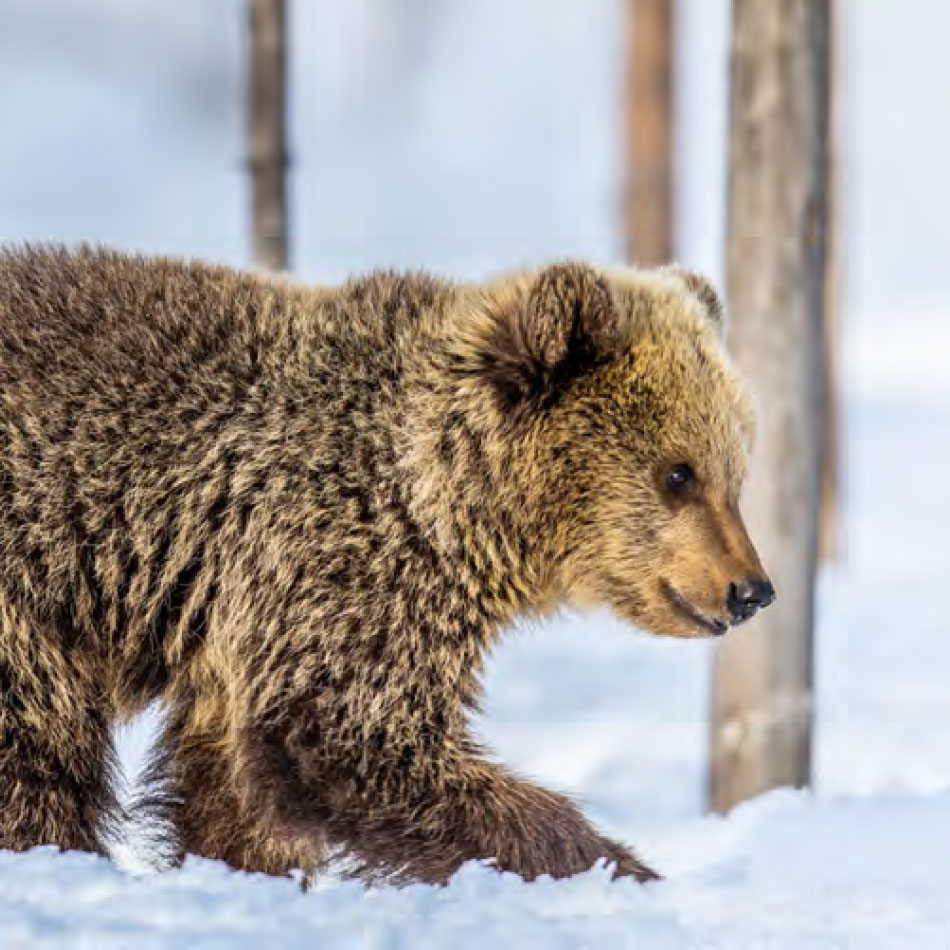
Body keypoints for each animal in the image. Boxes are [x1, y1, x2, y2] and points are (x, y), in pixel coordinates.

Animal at [0, 244, 772, 884]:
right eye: (679, 474)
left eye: (736, 473)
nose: (751, 590)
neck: (442, 499)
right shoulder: (338, 557)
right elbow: (349, 739)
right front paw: (615, 868)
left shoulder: (240, 618)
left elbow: (232, 787)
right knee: (37, 753)